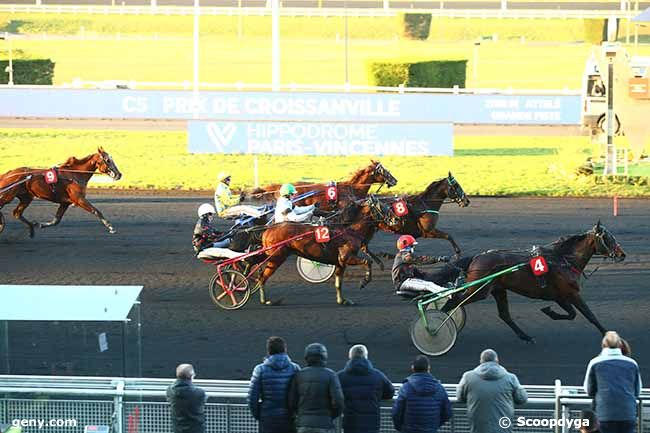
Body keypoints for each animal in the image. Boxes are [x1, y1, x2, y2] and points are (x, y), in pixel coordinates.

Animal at [256, 195, 390, 304]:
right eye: (383, 208)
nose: (393, 220)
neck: (347, 230)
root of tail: (268, 230)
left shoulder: (340, 262)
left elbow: (338, 283)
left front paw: (342, 300)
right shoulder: (346, 257)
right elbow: (368, 261)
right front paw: (364, 281)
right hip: (276, 257)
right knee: (262, 277)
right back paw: (265, 300)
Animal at [440, 223, 624, 340]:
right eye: (608, 239)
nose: (622, 254)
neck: (563, 260)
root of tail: (477, 257)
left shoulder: (560, 296)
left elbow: (572, 314)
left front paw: (549, 311)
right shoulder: (571, 293)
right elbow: (589, 315)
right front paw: (608, 334)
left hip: (498, 289)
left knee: (504, 315)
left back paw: (526, 337)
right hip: (479, 290)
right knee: (453, 302)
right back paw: (438, 327)